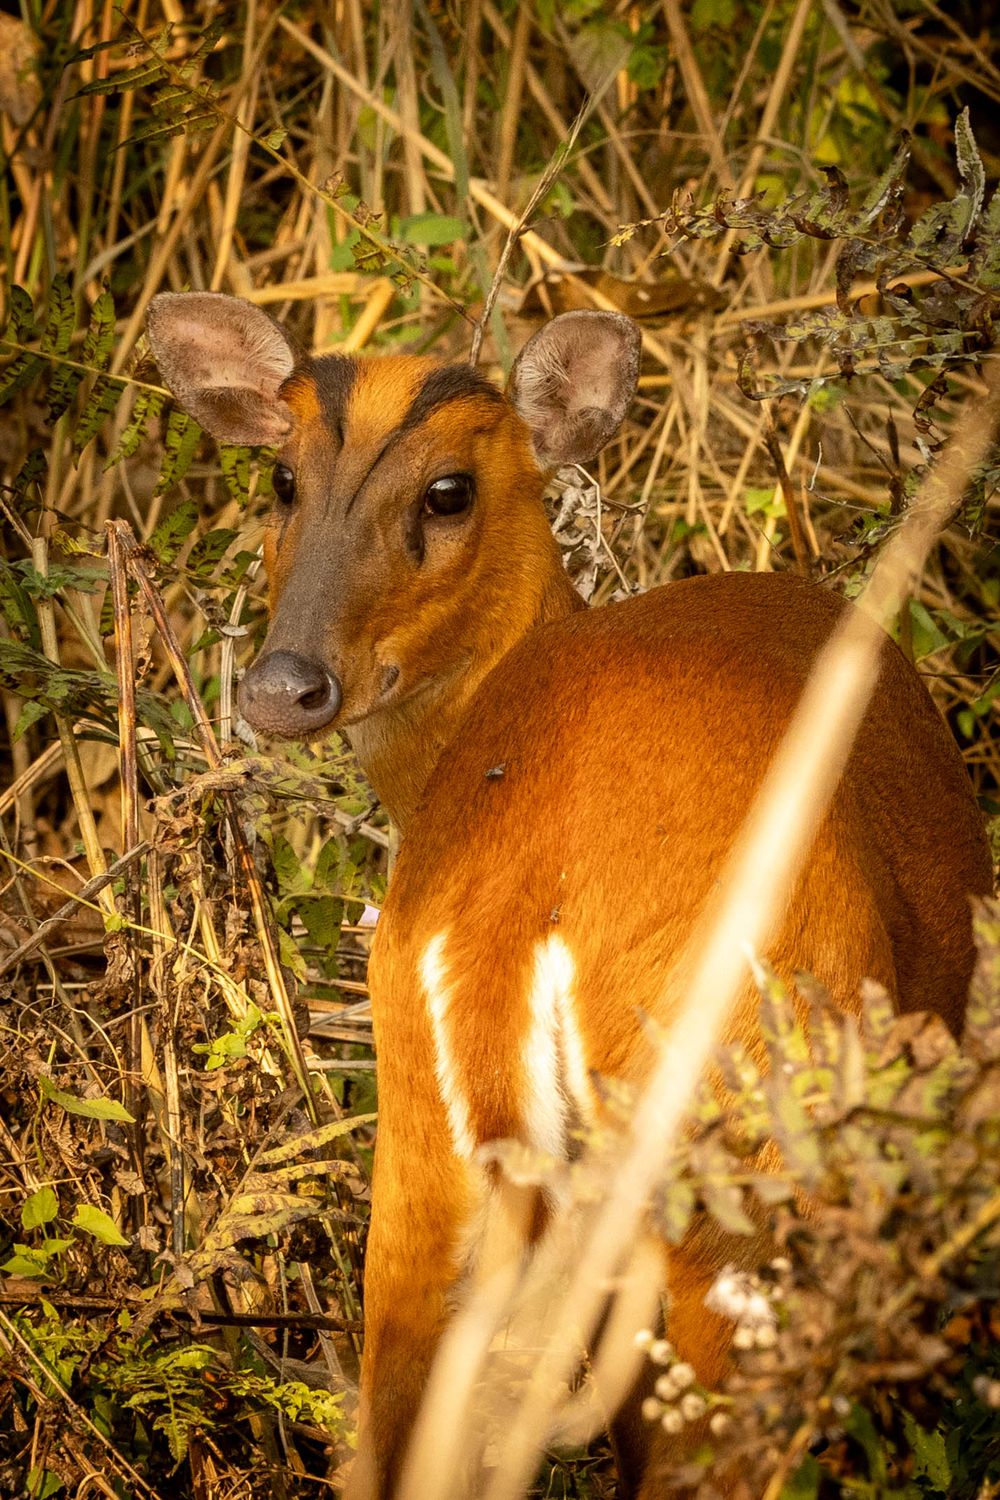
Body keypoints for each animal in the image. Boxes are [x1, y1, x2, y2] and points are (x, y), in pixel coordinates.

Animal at [146, 292, 993, 1500]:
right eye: (280, 476)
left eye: (449, 490)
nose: (281, 687)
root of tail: (516, 915)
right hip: (736, 1156)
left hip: (422, 1157)